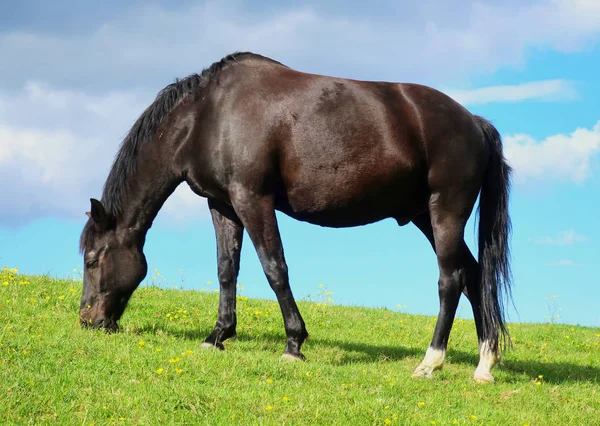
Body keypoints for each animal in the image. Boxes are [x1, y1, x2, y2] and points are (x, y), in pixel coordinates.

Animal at [78, 50, 510, 382]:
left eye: (92, 259)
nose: (87, 320)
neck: (209, 116)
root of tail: (474, 122)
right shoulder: (223, 205)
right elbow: (226, 270)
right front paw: (218, 336)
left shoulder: (253, 199)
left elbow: (274, 268)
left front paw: (293, 343)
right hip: (425, 216)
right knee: (474, 276)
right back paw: (483, 365)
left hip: (445, 211)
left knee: (450, 280)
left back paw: (430, 362)